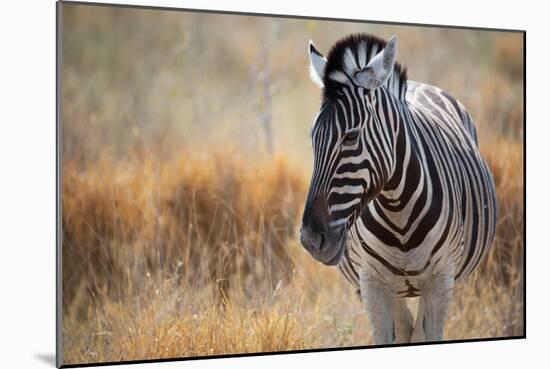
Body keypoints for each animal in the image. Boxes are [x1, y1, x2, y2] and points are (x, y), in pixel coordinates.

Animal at [302, 33, 500, 344]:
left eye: (351, 137)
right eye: (313, 137)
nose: (311, 239)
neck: (398, 210)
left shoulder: (441, 280)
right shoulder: (371, 283)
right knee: (406, 328)